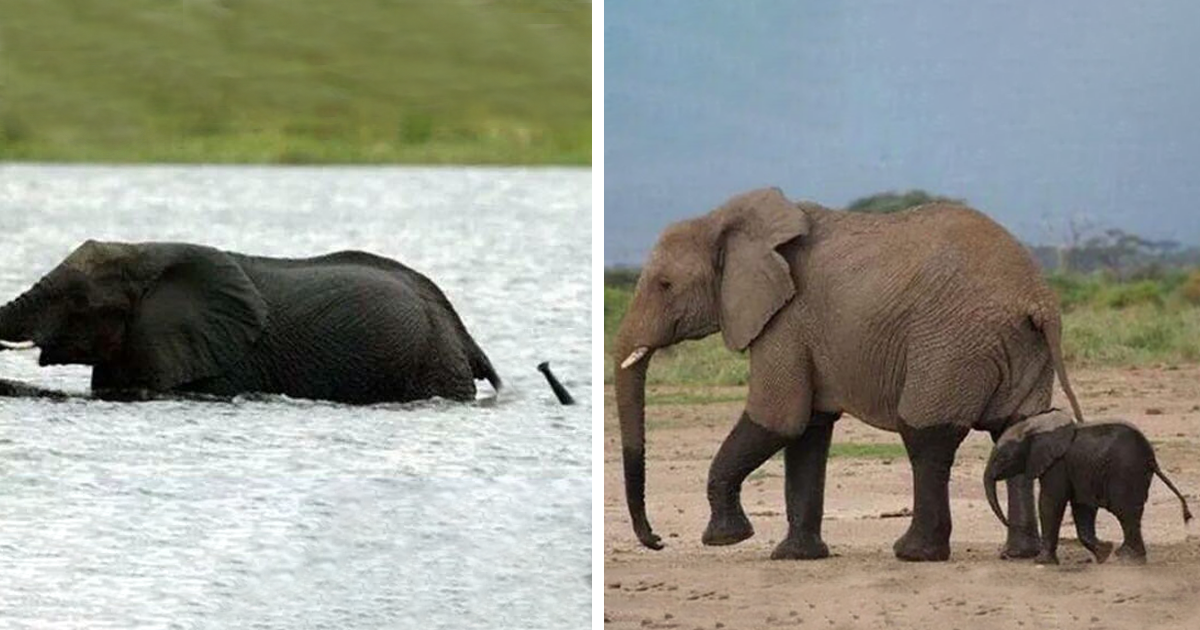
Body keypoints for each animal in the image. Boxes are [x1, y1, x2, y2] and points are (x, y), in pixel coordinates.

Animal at [613, 187, 1084, 562]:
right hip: (1017, 345)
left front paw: (726, 539)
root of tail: (1037, 298)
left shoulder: (786, 321)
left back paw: (914, 553)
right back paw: (1018, 554)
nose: (656, 540)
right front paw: (795, 557)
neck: (727, 222)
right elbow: (808, 430)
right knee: (1016, 430)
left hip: (952, 344)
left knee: (926, 435)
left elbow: (778, 419)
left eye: (664, 285)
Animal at [985, 410, 1193, 565]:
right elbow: (1082, 506)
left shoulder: (1057, 464)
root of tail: (1152, 458)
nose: (1008, 523)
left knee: (1125, 511)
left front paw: (1042, 563)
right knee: (1130, 513)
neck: (1035, 426)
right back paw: (1125, 556)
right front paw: (1103, 553)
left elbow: (1050, 502)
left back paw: (1129, 558)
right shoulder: (1079, 472)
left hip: (1126, 471)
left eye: (1002, 458)